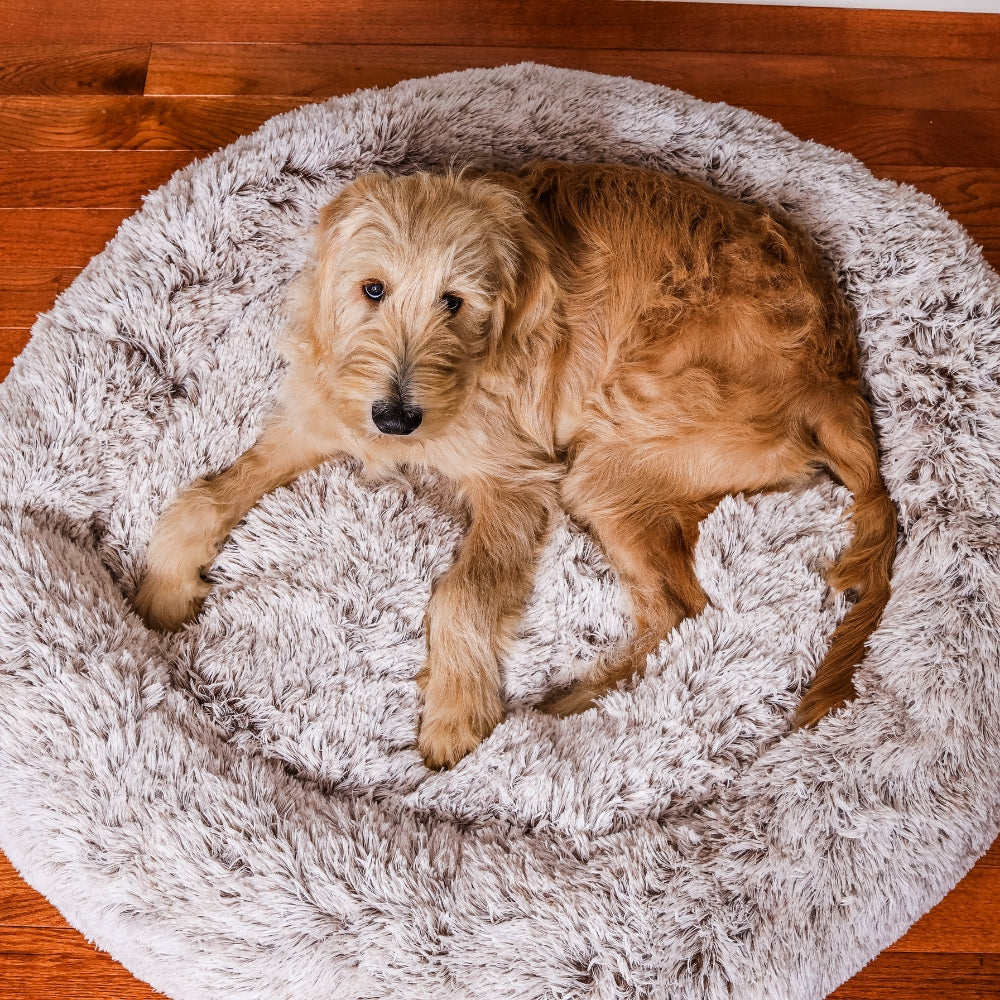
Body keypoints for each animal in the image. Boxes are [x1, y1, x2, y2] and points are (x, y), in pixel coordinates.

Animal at [135, 162, 900, 764]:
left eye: (454, 302)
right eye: (373, 289)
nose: (396, 419)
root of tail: (836, 379)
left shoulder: (517, 481)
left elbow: (462, 593)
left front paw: (454, 712)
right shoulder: (317, 417)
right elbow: (203, 494)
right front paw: (165, 585)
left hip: (604, 464)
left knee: (682, 607)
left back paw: (571, 705)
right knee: (674, 610)